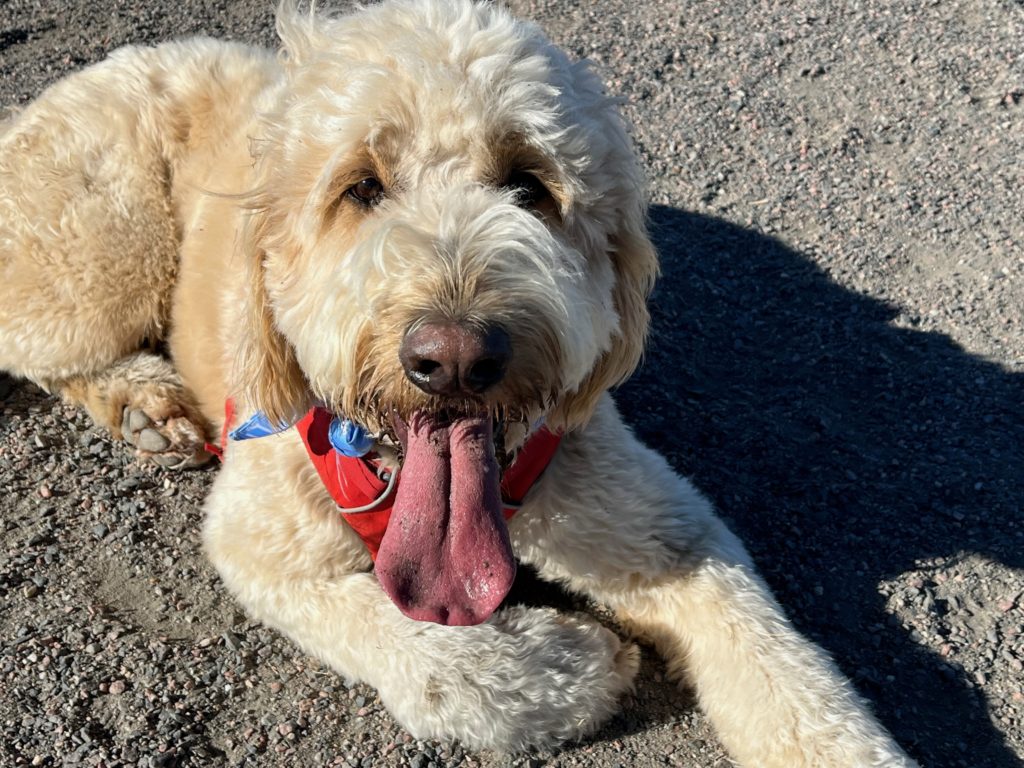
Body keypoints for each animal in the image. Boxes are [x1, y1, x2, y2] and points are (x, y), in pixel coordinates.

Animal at [0, 1, 917, 765]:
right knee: (40, 342)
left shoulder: (655, 525)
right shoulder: (262, 540)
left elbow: (777, 662)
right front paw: (568, 663)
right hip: (97, 259)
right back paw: (141, 400)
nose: (454, 358)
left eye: (529, 184)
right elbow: (420, 644)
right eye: (361, 187)